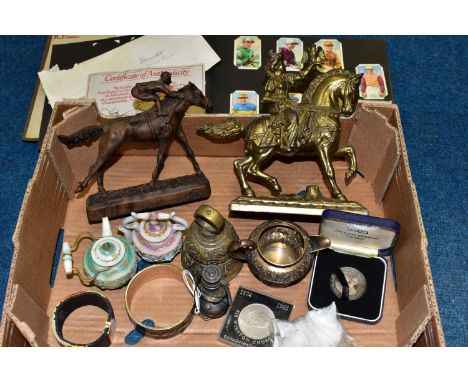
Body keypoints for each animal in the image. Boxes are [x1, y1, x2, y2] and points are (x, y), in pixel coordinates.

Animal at [58, 81, 210, 192]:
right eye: (199, 93)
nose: (210, 104)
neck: (169, 112)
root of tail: (104, 126)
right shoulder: (164, 139)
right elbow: (160, 159)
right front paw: (151, 183)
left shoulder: (179, 133)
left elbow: (189, 151)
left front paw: (199, 172)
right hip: (111, 147)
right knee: (96, 165)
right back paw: (81, 187)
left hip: (110, 149)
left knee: (100, 166)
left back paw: (101, 190)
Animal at [197, 69, 362, 200]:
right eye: (352, 91)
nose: (348, 111)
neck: (322, 112)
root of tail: (247, 126)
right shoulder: (323, 148)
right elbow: (329, 171)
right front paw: (339, 195)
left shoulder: (332, 148)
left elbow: (350, 151)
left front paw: (349, 174)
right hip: (265, 151)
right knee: (252, 169)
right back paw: (274, 185)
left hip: (256, 153)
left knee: (239, 165)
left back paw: (249, 192)